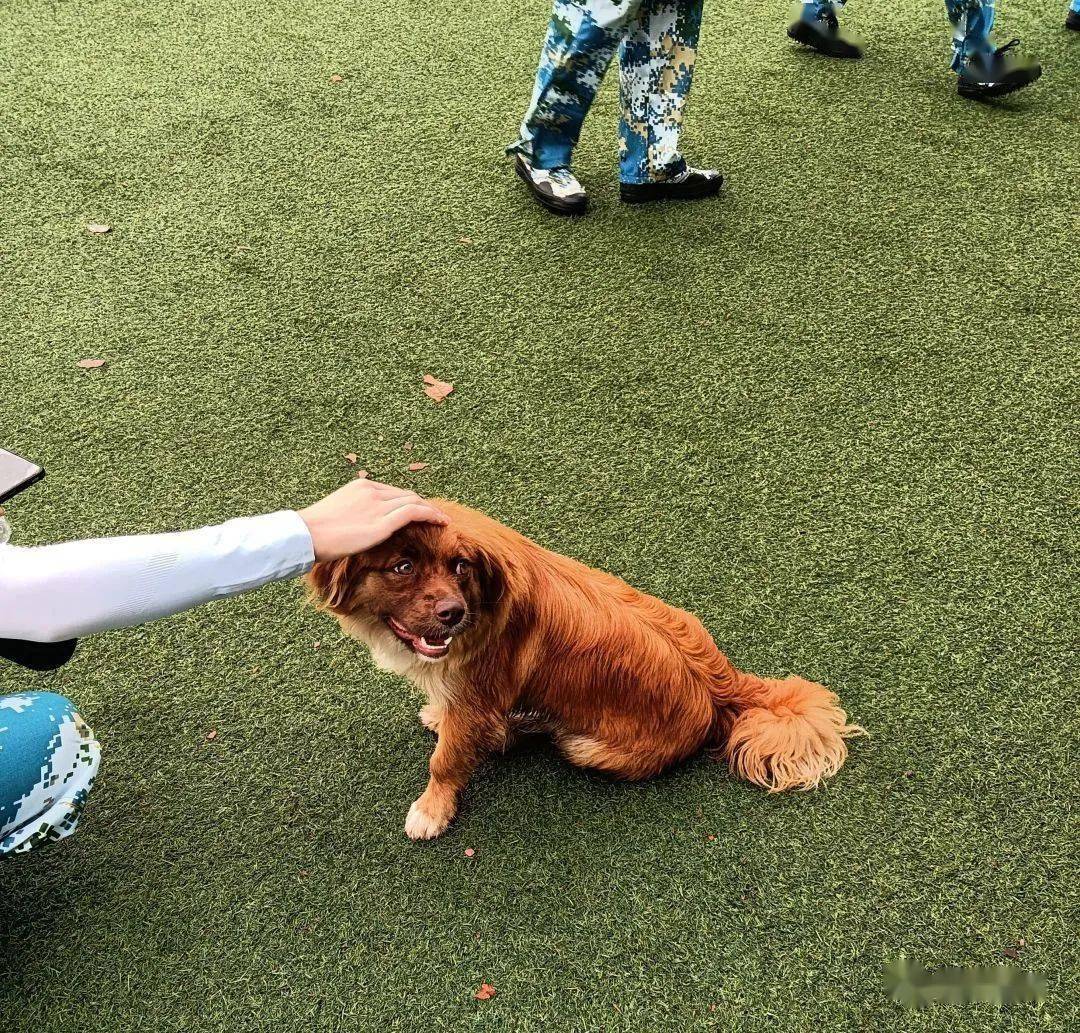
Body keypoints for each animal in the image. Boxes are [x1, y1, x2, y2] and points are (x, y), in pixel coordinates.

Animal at [308, 501, 864, 838]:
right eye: (402, 567)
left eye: (460, 566)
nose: (452, 613)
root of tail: (719, 684)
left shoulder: (476, 699)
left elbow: (444, 761)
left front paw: (432, 809)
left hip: (583, 745)